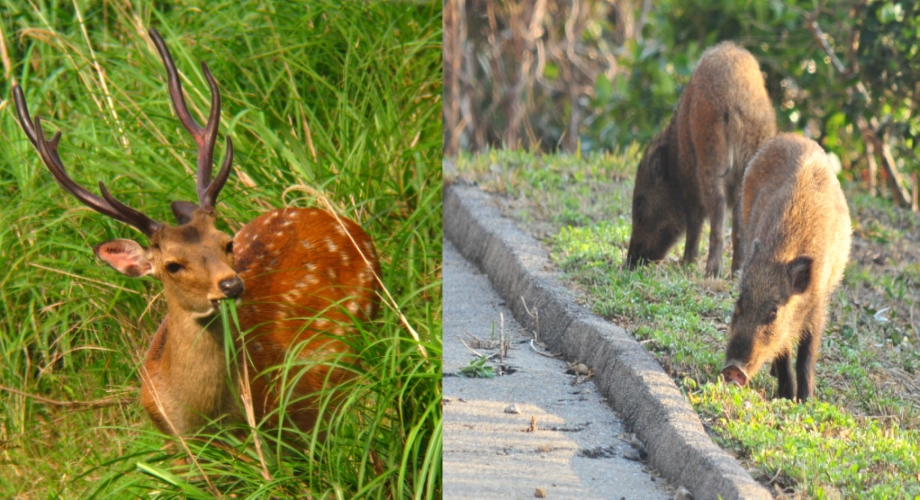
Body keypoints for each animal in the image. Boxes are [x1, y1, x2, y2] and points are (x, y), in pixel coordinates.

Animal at [11, 29, 378, 440]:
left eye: (227, 242)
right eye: (173, 264)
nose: (232, 285)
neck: (201, 419)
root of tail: (342, 222)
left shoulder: (286, 423)